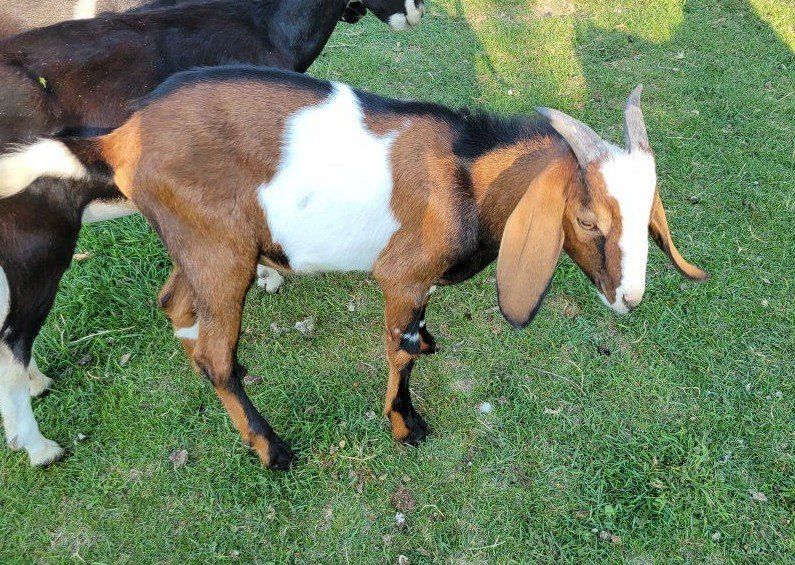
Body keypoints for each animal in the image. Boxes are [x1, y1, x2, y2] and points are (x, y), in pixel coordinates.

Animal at [0, 0, 425, 467]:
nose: (416, 14)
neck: (261, 23)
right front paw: (270, 275)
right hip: (38, 239)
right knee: (13, 340)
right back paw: (39, 446)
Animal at [0, 66, 707, 470]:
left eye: (649, 211)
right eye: (587, 220)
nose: (631, 297)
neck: (467, 176)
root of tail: (120, 138)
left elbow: (418, 343)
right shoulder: (403, 276)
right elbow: (401, 352)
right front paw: (406, 425)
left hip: (201, 241)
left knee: (176, 305)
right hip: (221, 250)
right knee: (217, 356)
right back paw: (270, 448)